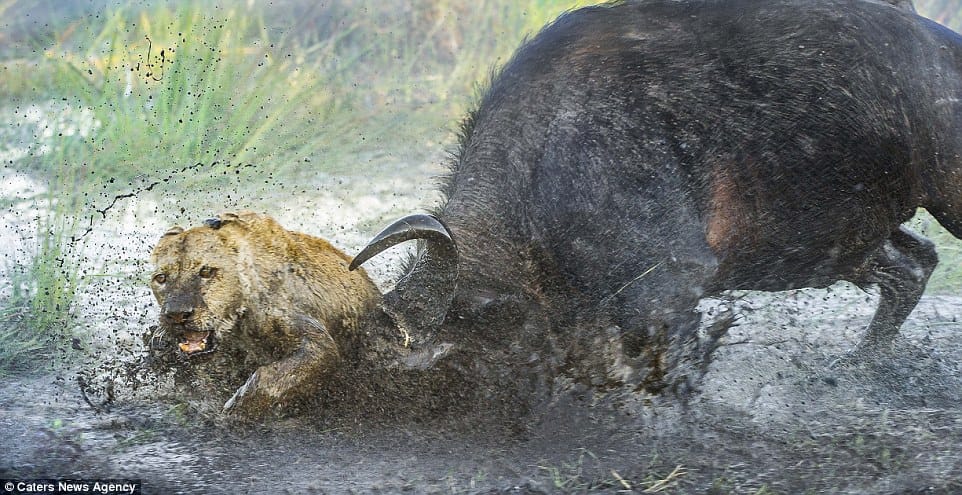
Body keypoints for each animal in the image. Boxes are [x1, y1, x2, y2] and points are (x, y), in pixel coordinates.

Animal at [147, 210, 398, 418]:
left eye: (206, 271)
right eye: (161, 277)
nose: (177, 314)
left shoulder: (311, 338)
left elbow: (267, 378)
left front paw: (234, 409)